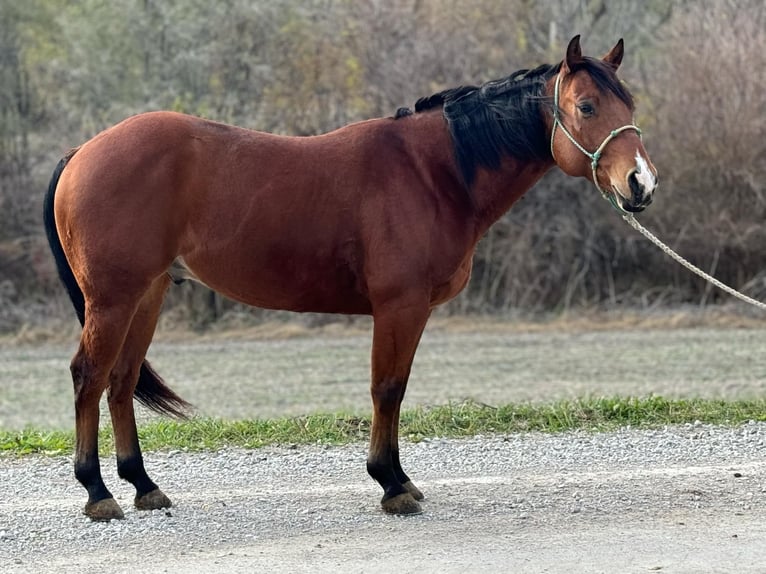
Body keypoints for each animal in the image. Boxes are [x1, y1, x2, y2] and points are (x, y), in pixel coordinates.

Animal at [42, 35, 660, 520]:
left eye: (627, 101)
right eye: (586, 106)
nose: (641, 183)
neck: (432, 172)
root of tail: (83, 151)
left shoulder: (410, 311)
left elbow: (396, 387)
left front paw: (399, 479)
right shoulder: (399, 306)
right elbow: (387, 389)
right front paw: (391, 484)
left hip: (146, 295)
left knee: (121, 380)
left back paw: (144, 486)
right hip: (113, 299)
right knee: (88, 377)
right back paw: (97, 492)